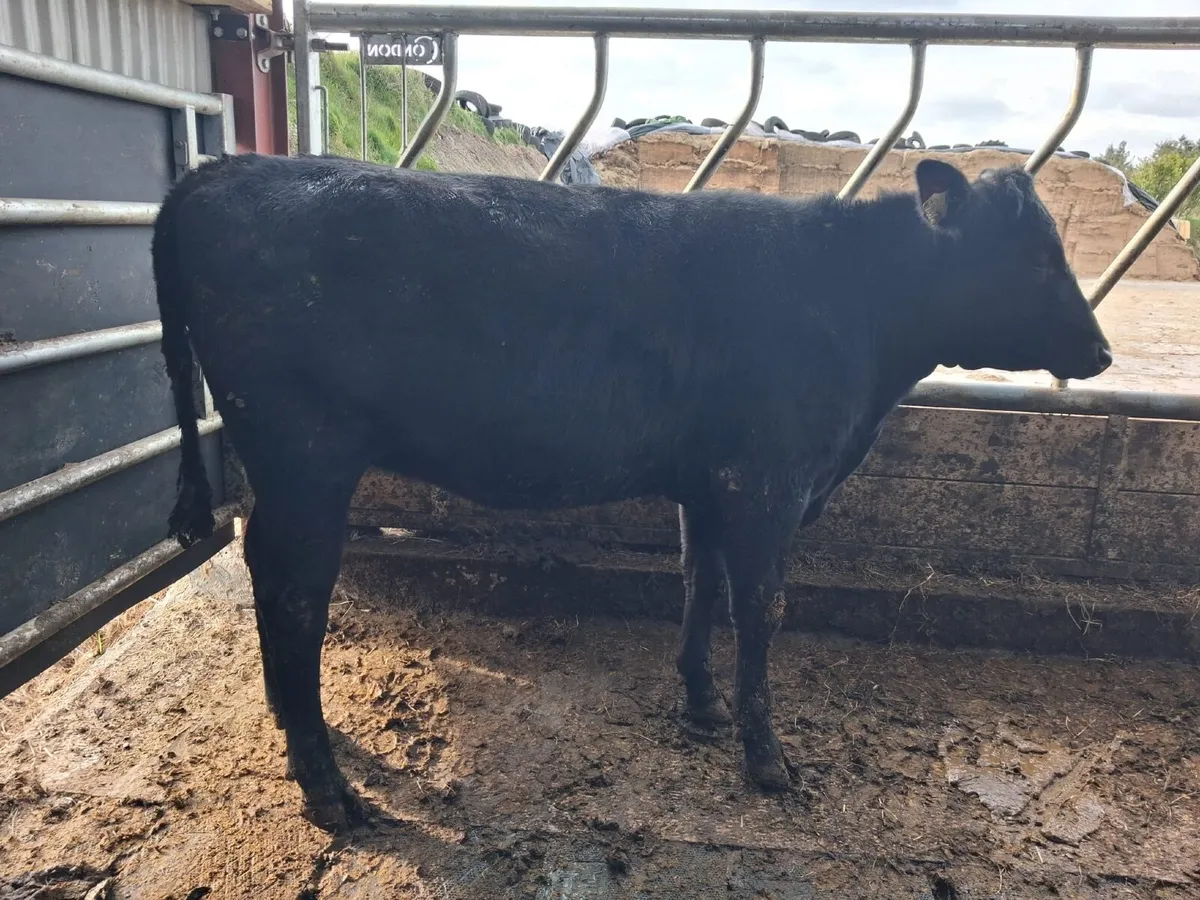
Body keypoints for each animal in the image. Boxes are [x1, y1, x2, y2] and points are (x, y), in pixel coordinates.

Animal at [152, 152, 1111, 832]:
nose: (1101, 352)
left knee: (268, 573)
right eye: (1034, 261)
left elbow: (700, 583)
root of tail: (225, 170)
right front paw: (767, 756)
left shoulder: (711, 478)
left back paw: (291, 727)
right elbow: (761, 607)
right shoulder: (770, 480)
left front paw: (701, 702)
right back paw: (326, 785)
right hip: (307, 458)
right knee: (294, 591)